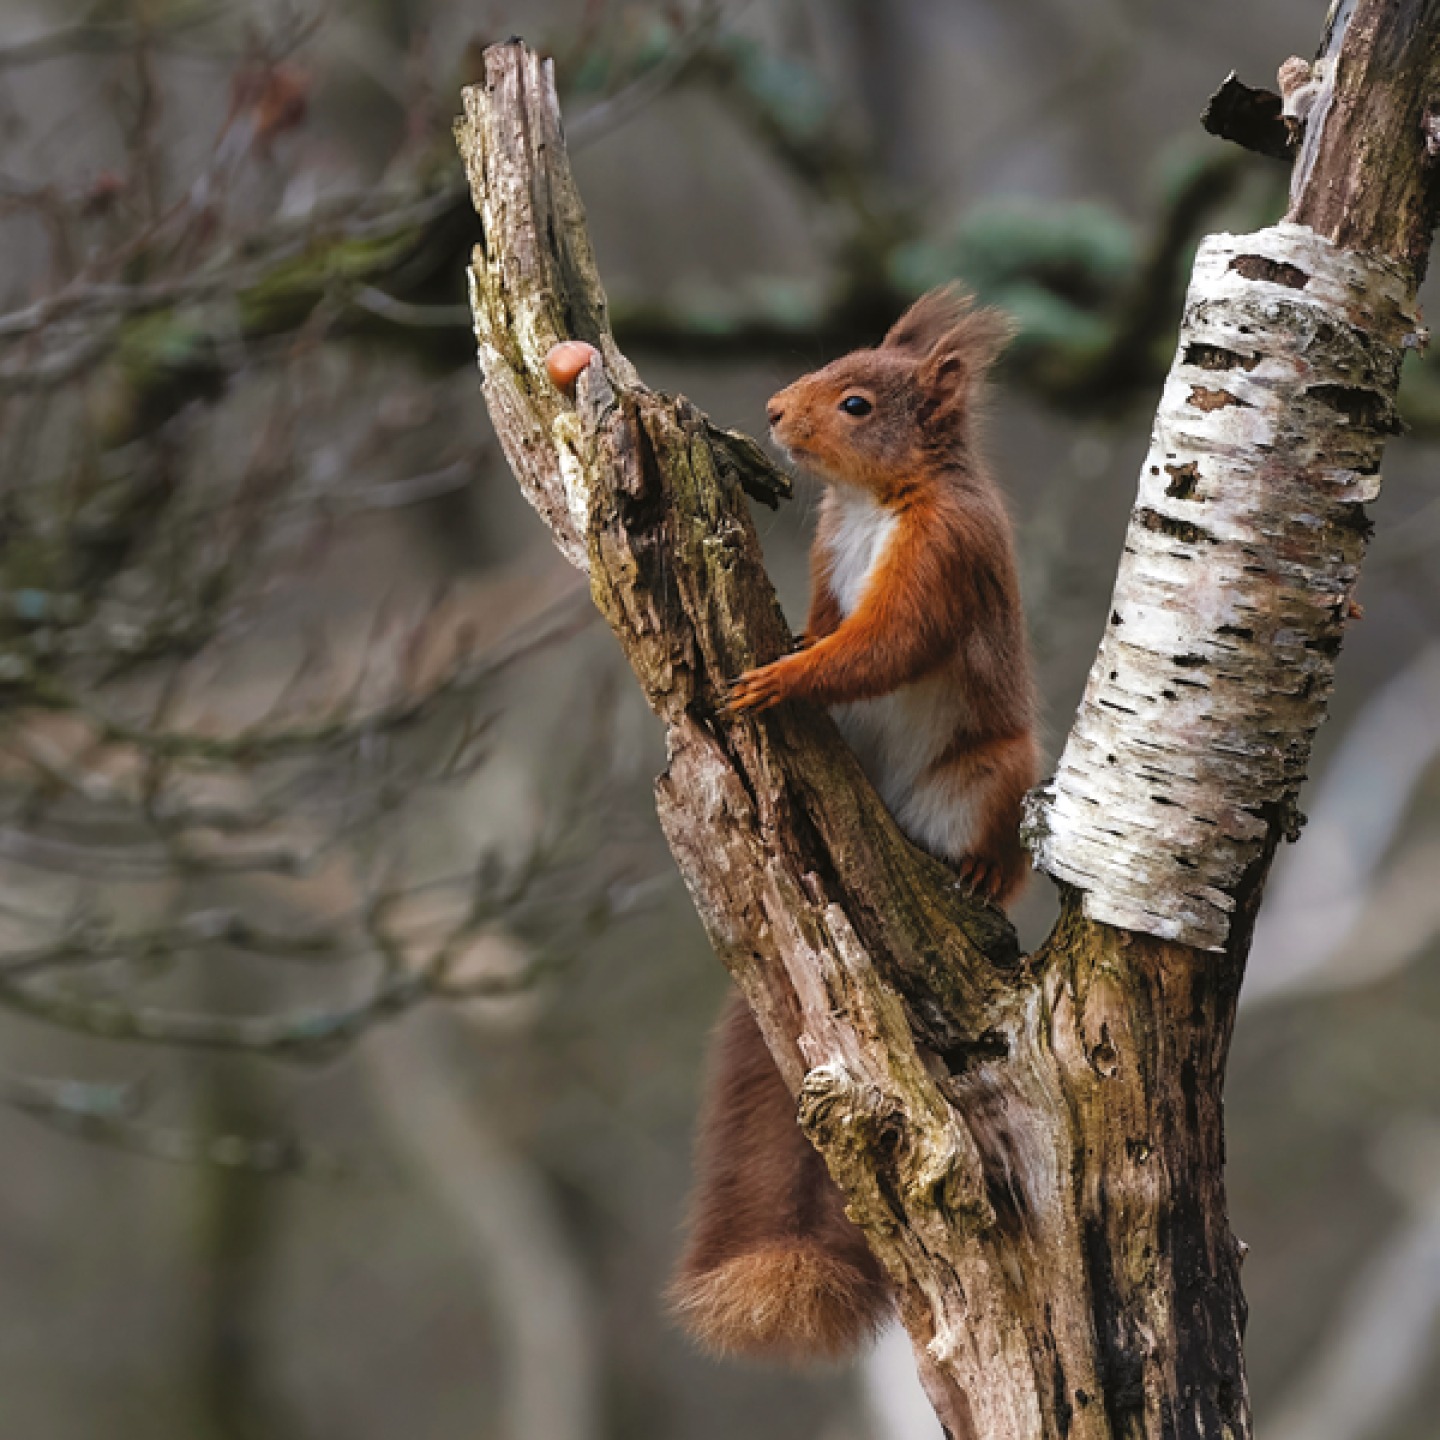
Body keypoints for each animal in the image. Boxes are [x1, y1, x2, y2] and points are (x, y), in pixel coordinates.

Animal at [668, 285, 1039, 1364]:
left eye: (859, 404)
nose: (774, 410)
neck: (877, 502)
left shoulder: (946, 555)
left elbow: (885, 645)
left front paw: (784, 678)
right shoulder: (836, 552)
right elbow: (837, 623)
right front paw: (794, 642)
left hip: (992, 777)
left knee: (993, 848)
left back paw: (976, 876)